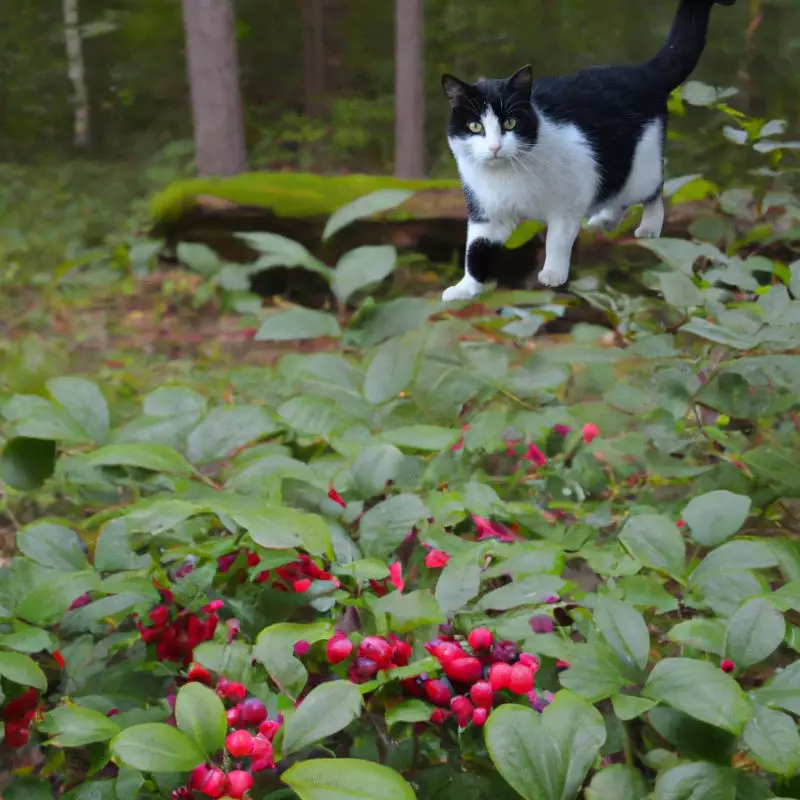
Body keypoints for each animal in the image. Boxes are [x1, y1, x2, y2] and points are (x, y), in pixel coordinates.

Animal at [440, 0, 736, 304]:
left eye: (510, 123)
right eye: (475, 126)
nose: (495, 147)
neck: (508, 175)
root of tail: (645, 73)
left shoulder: (568, 202)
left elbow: (557, 240)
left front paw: (552, 275)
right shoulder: (486, 212)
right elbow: (476, 249)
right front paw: (465, 288)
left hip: (642, 166)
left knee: (654, 191)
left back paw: (649, 228)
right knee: (616, 194)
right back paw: (603, 220)